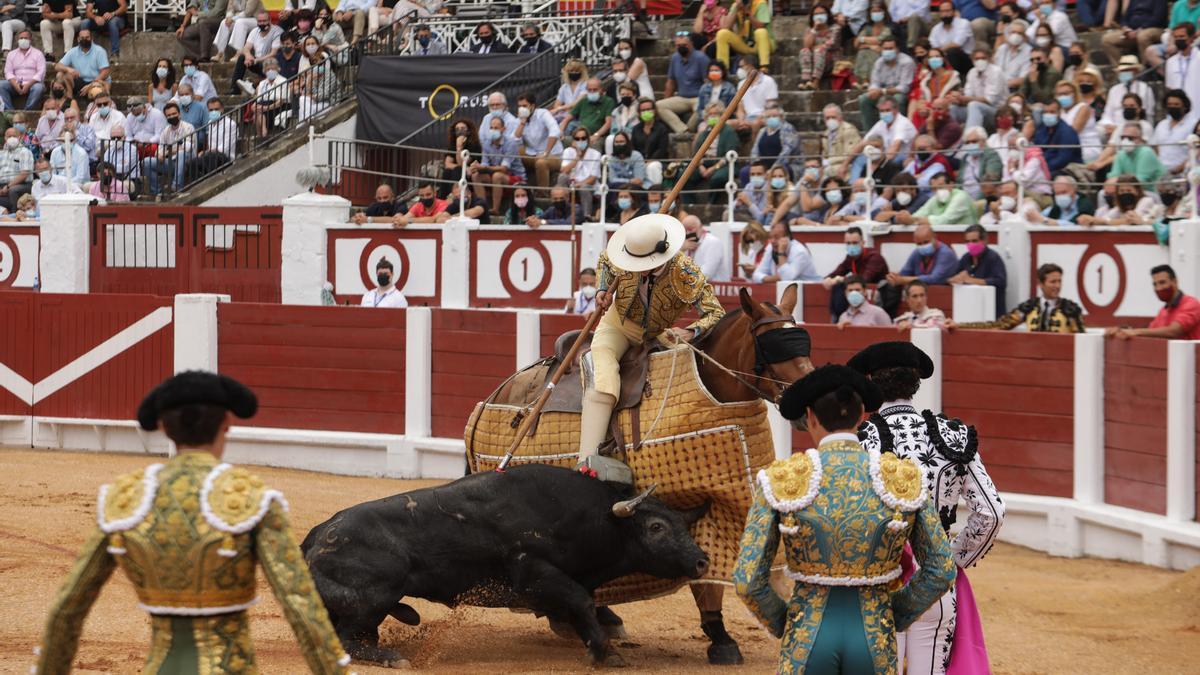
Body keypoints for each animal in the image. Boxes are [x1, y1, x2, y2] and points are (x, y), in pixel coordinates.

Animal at [302, 461, 710, 662]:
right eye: (656, 527)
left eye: (682, 524)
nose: (702, 562)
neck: (597, 519)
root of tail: (317, 535)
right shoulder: (533, 571)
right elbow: (581, 600)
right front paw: (601, 653)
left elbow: (581, 604)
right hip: (373, 598)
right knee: (347, 641)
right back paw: (389, 656)